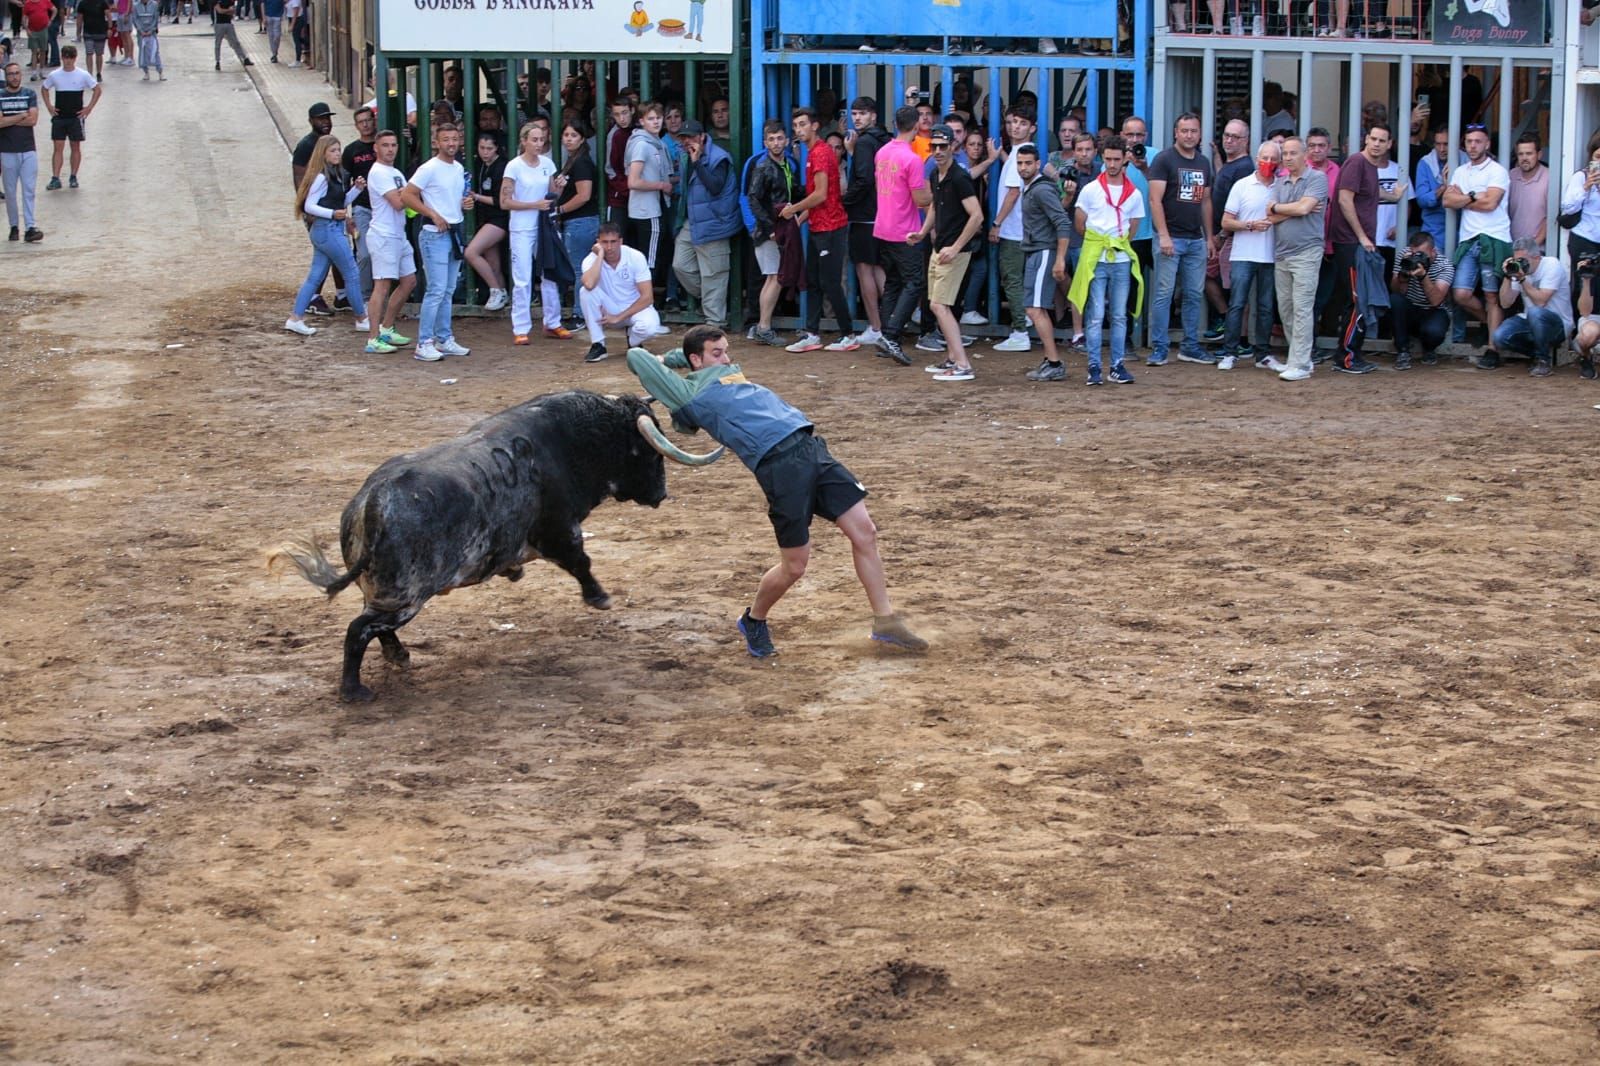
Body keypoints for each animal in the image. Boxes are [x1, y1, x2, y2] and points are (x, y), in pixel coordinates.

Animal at [272, 388, 723, 697]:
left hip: (386, 594)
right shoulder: (560, 530)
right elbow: (581, 561)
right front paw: (600, 598)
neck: (573, 439)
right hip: (406, 596)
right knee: (358, 629)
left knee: (371, 627)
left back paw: (398, 657)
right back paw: (354, 691)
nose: (661, 494)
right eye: (651, 455)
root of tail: (371, 503)